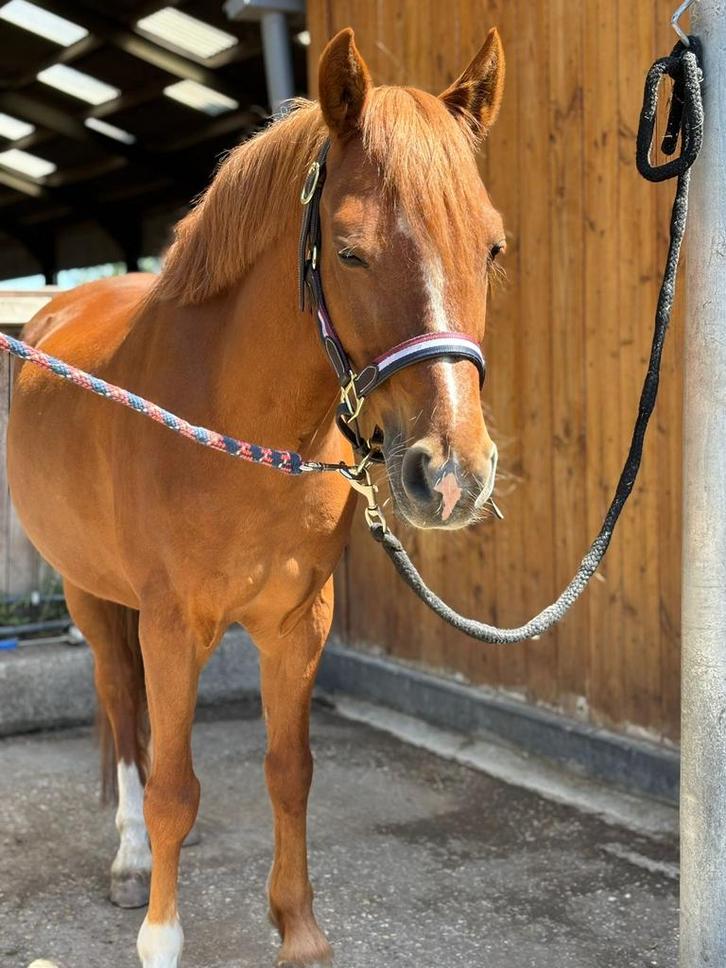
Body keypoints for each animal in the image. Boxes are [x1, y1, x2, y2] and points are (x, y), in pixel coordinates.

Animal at [7, 26, 506, 968]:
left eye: (493, 248)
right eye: (348, 251)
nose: (450, 474)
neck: (237, 427)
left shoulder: (296, 623)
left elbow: (290, 773)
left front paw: (299, 932)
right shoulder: (172, 625)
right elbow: (171, 787)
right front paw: (161, 935)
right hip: (91, 594)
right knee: (122, 707)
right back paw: (132, 861)